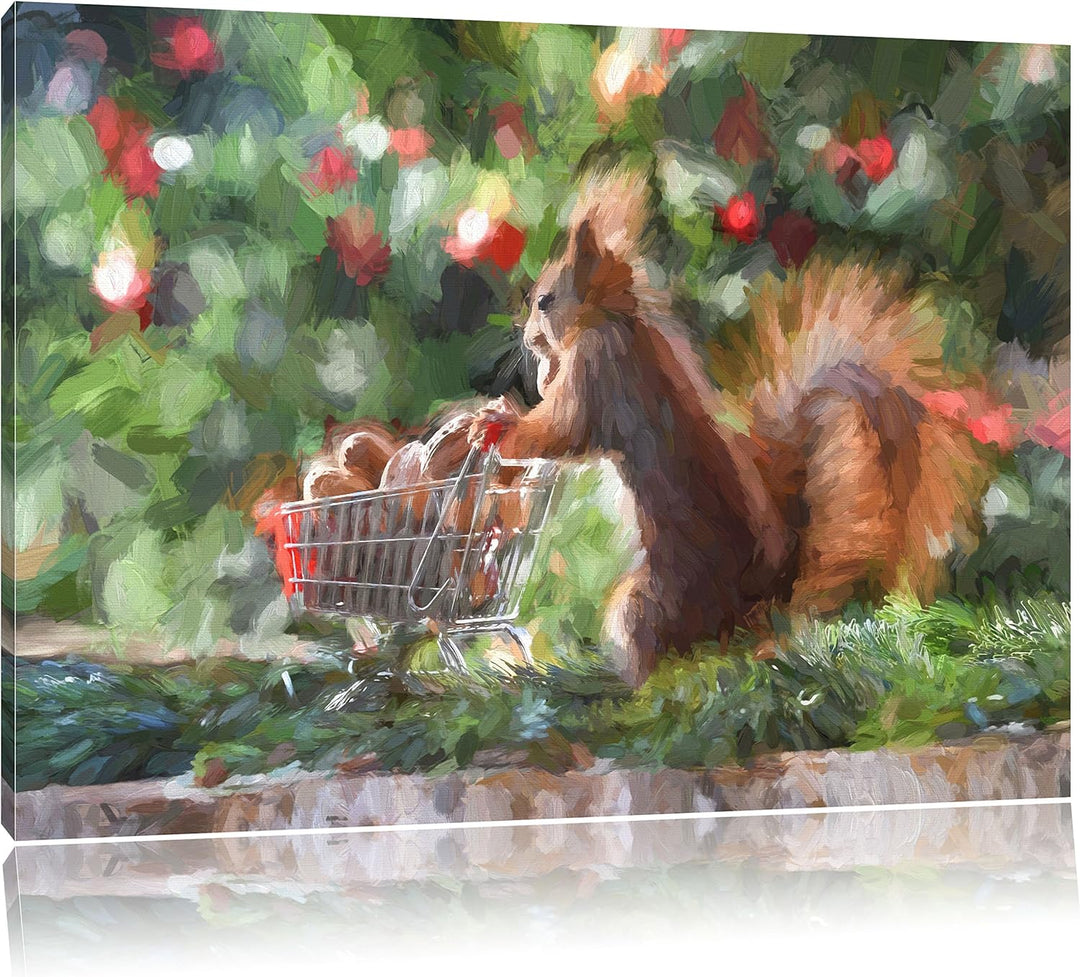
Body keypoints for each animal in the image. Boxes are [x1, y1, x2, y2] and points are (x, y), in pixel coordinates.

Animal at [469, 165, 990, 686]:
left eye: (545, 301)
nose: (528, 340)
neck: (616, 320)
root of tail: (748, 612)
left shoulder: (599, 372)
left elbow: (560, 428)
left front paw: (499, 424)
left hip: (648, 602)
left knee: (659, 658)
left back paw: (630, 684)